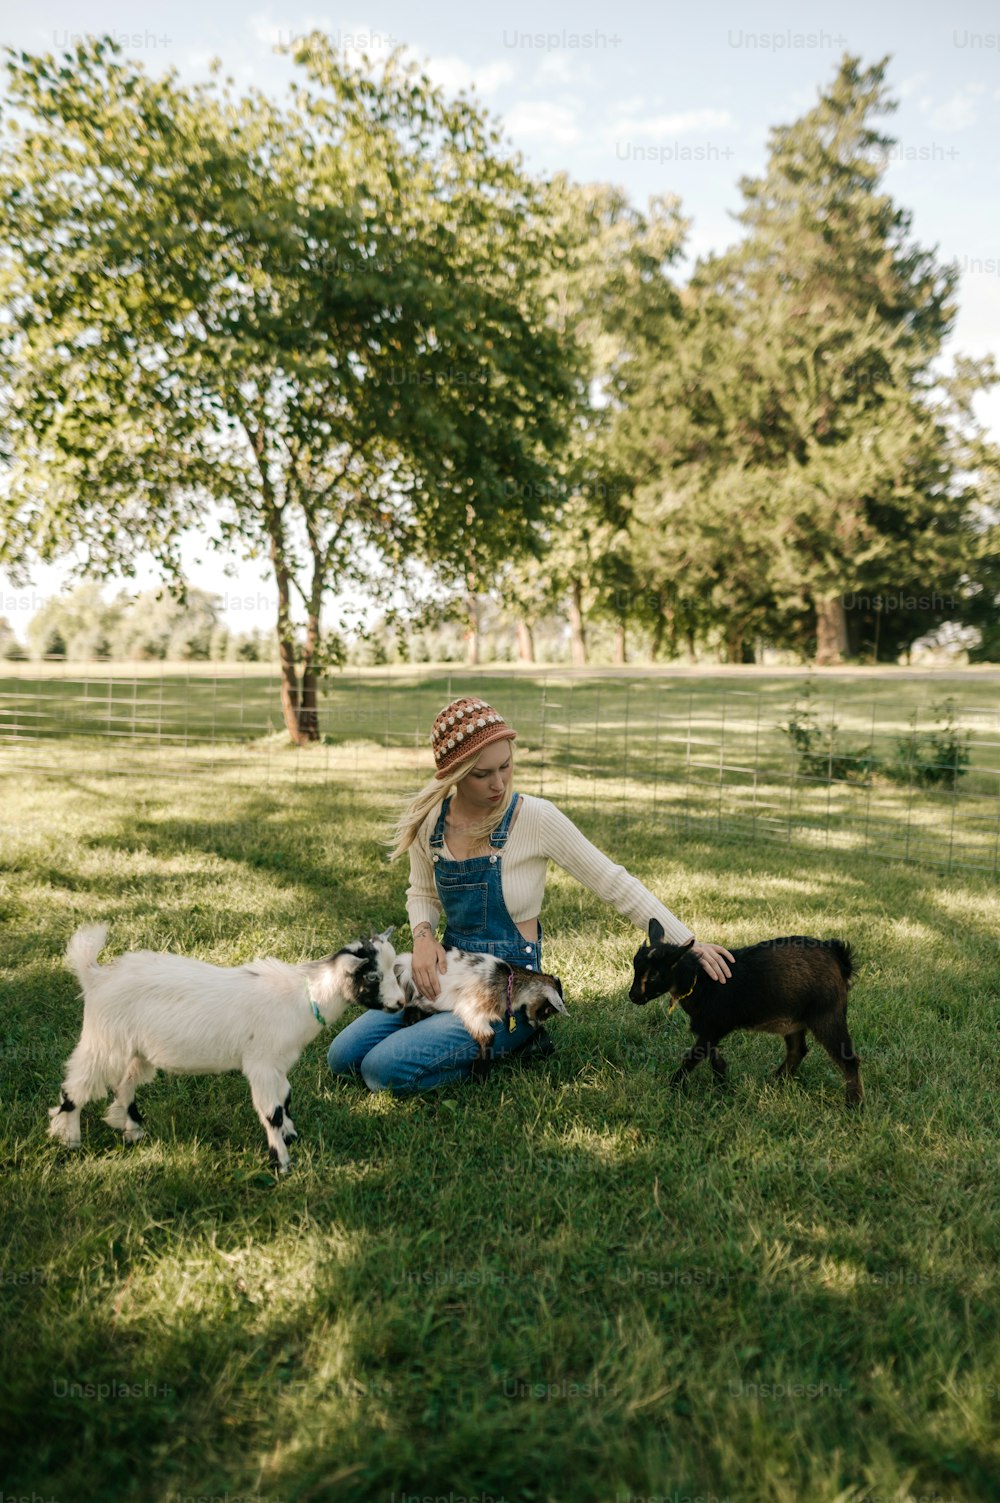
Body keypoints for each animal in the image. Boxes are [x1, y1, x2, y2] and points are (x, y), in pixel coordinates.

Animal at [48, 913, 403, 1172]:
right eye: (372, 976)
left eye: (395, 970)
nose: (400, 1003)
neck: (304, 996)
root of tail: (95, 977)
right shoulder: (261, 1063)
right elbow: (271, 1112)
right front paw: (281, 1163)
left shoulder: (278, 1063)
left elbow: (285, 1097)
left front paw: (290, 1136)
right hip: (104, 1041)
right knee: (75, 1087)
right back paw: (69, 1138)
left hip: (135, 1050)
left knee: (125, 1084)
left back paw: (132, 1130)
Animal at [631, 913, 860, 1106]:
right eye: (635, 969)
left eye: (653, 976)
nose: (632, 996)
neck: (700, 981)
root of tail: (840, 957)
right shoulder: (709, 1028)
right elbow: (713, 1057)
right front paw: (724, 1085)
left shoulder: (715, 1026)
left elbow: (693, 1057)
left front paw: (673, 1086)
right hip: (794, 1019)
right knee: (798, 1050)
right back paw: (774, 1082)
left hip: (827, 1013)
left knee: (848, 1059)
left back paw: (853, 1104)